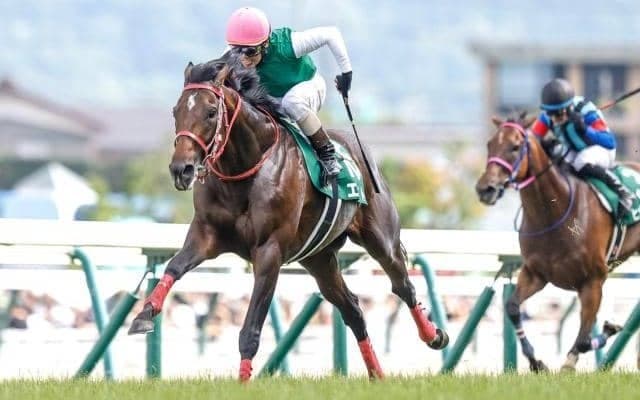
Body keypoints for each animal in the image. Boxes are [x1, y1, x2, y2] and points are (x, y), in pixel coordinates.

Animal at [127, 57, 449, 380]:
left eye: (210, 112)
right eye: (176, 111)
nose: (182, 170)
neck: (244, 170)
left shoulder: (269, 251)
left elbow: (251, 330)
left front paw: (243, 383)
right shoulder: (205, 235)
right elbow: (174, 266)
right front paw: (143, 314)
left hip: (381, 240)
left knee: (403, 286)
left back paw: (434, 336)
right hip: (319, 259)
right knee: (353, 310)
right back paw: (377, 374)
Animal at [475, 113, 640, 371]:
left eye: (515, 146)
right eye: (489, 144)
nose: (485, 188)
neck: (554, 212)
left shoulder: (593, 280)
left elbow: (584, 339)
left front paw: (606, 331)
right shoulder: (535, 274)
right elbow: (512, 307)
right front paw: (536, 362)